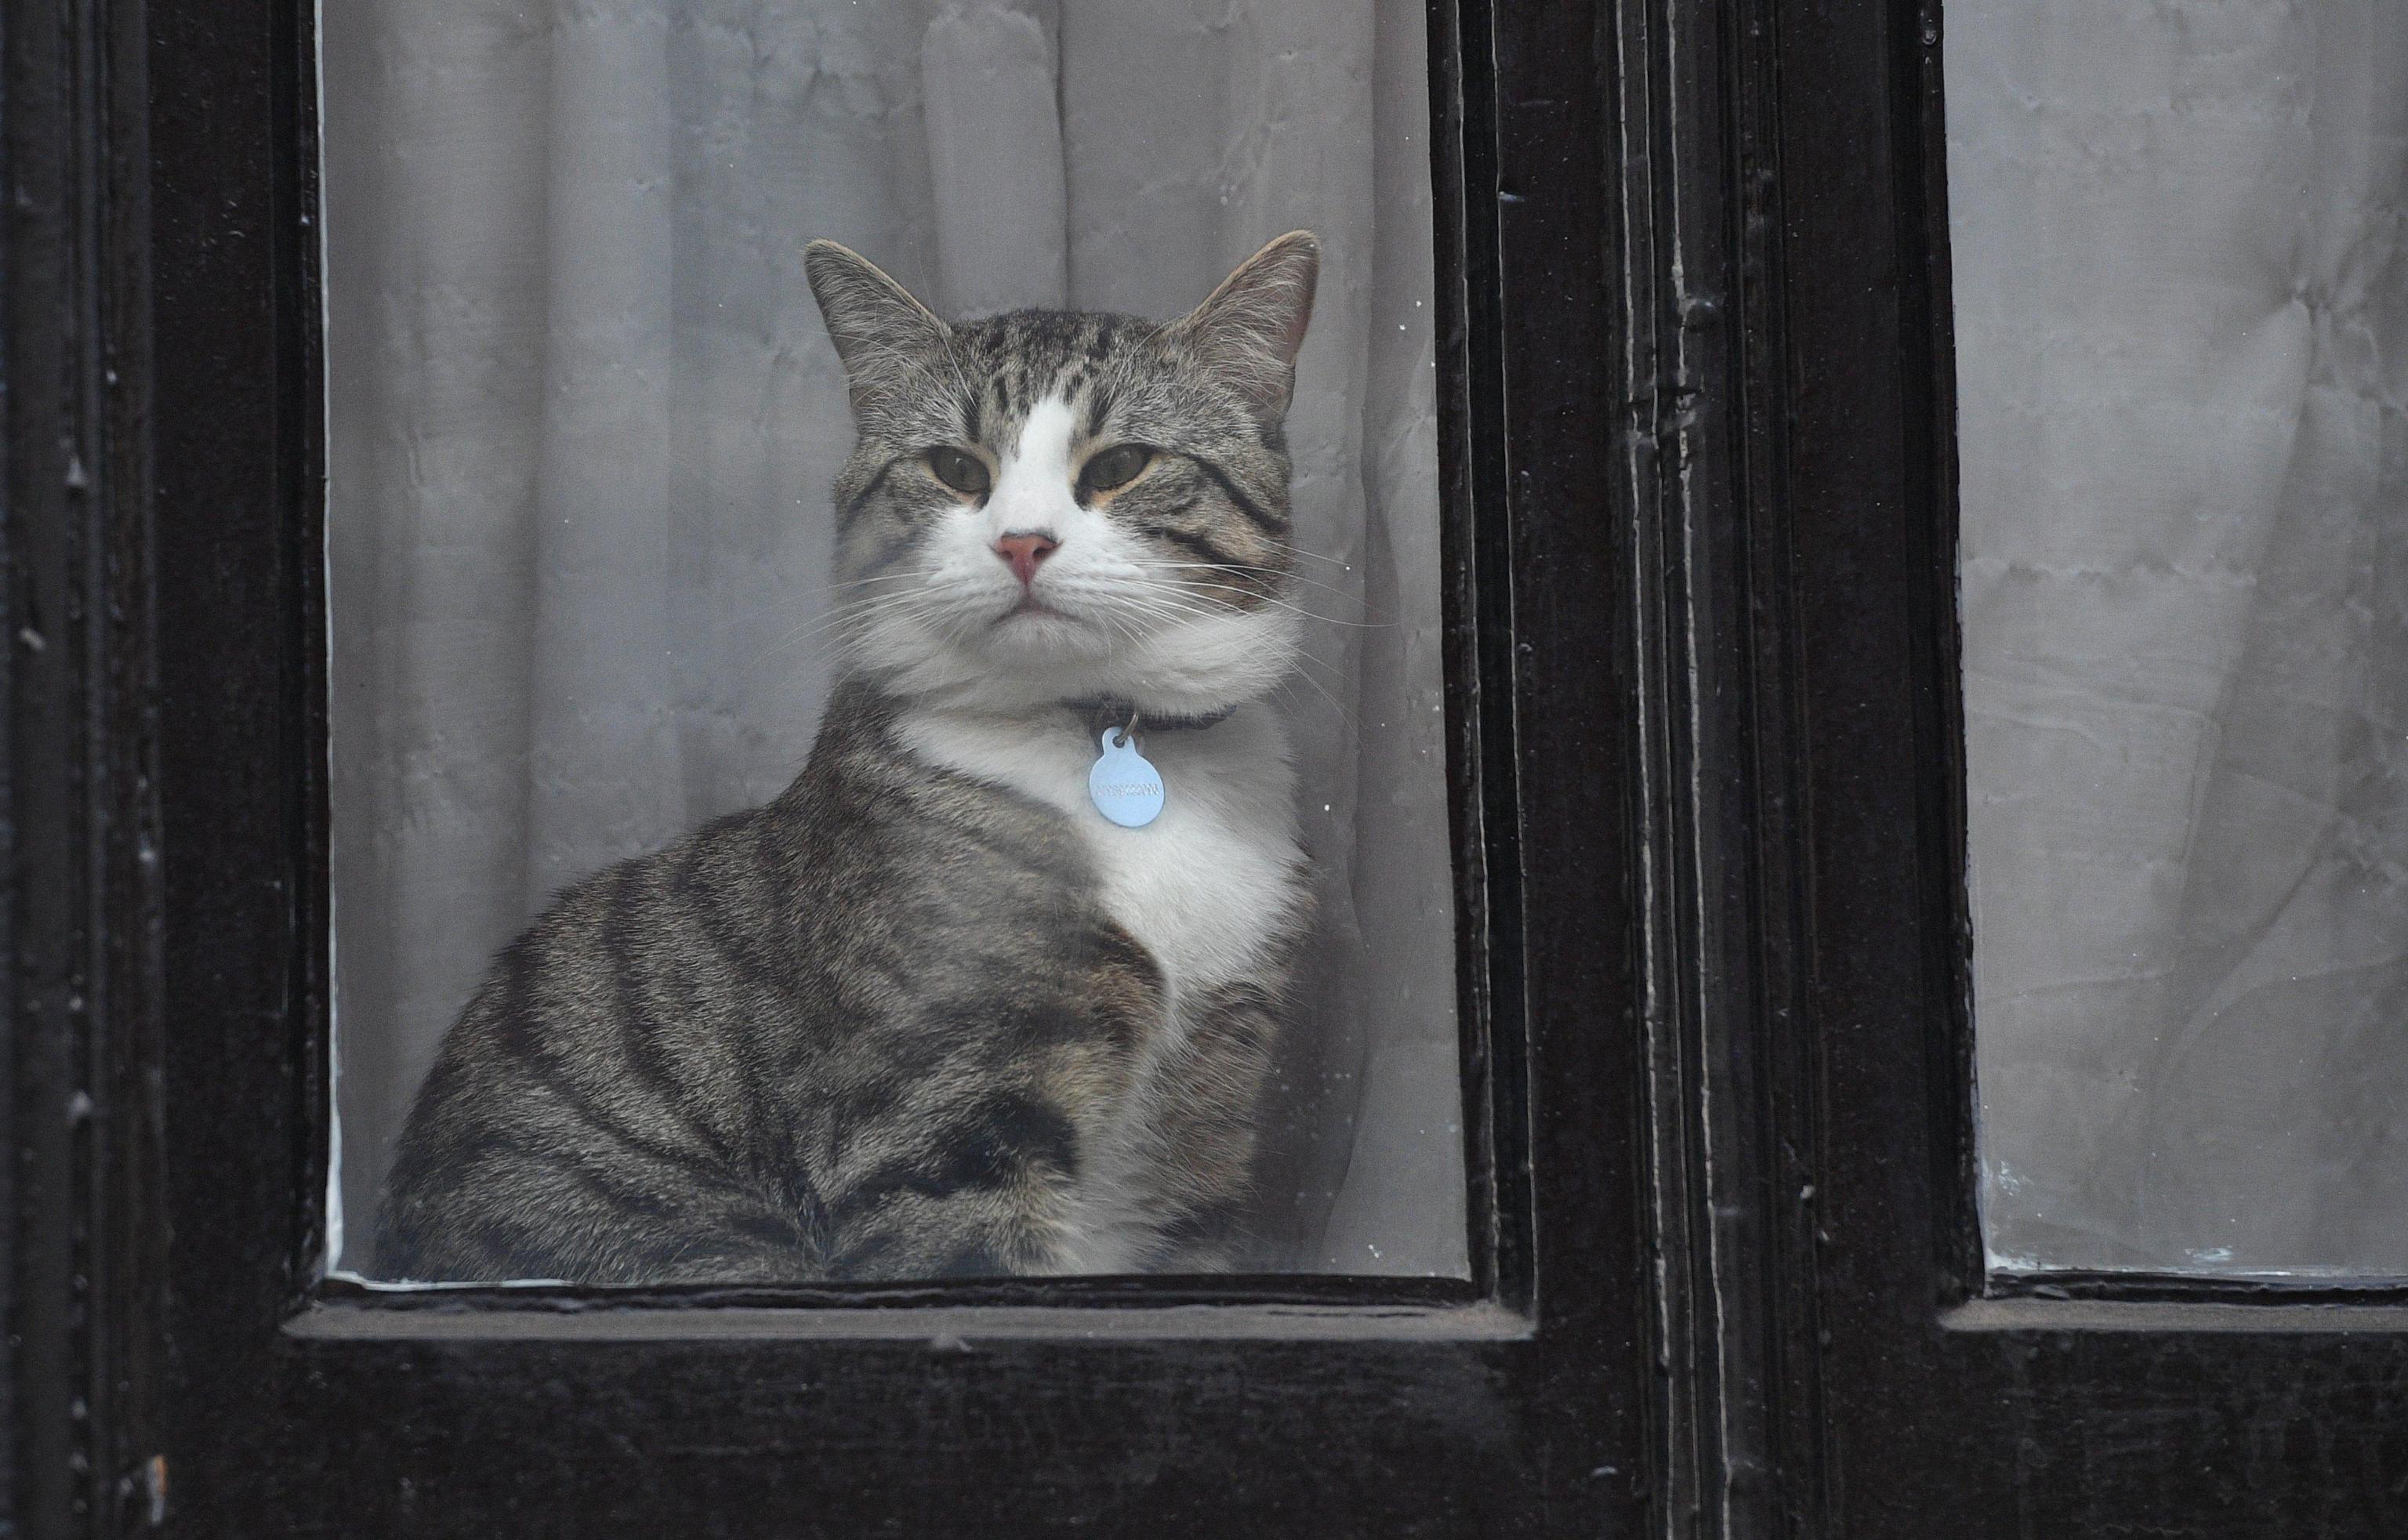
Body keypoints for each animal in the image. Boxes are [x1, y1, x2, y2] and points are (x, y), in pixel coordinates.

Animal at [374, 232, 1323, 1284]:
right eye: (954, 468)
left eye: (1121, 463)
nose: (1022, 543)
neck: (1099, 734)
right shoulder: (932, 1128)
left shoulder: (1211, 1110)